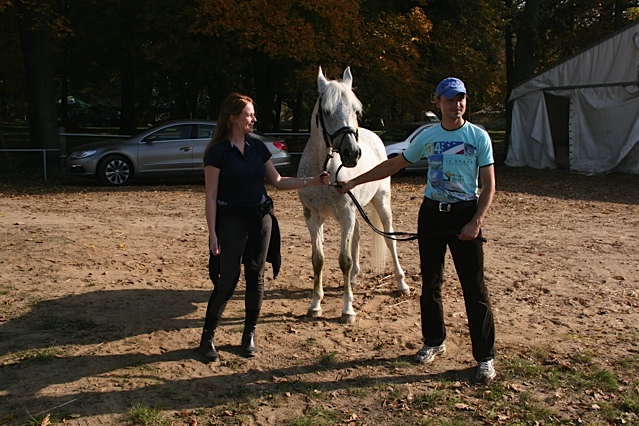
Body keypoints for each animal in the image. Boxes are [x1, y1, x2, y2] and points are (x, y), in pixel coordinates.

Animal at [297, 66, 410, 324]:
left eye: (355, 110)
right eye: (327, 111)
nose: (352, 153)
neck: (326, 171)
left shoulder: (345, 215)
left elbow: (344, 260)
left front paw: (348, 310)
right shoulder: (313, 217)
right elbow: (318, 259)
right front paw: (315, 305)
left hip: (381, 202)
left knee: (390, 239)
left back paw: (401, 284)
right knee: (357, 234)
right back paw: (355, 278)